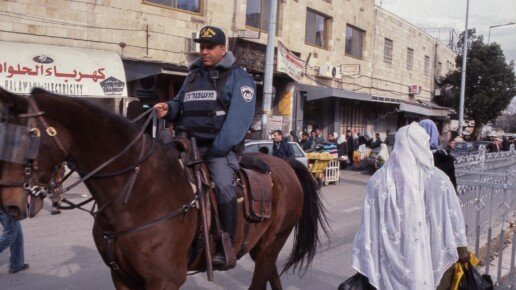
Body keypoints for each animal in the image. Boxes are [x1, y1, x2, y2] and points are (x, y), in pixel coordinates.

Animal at [0, 88, 328, 290]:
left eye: (29, 136)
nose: (10, 204)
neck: (136, 195)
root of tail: (284, 163)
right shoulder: (122, 277)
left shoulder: (164, 280)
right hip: (262, 248)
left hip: (273, 242)